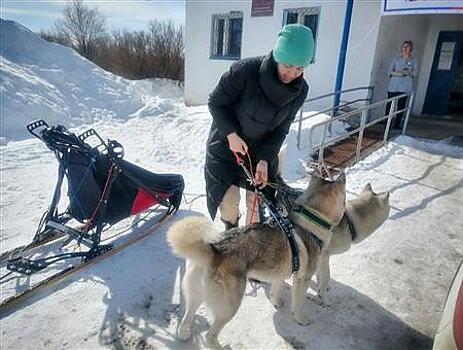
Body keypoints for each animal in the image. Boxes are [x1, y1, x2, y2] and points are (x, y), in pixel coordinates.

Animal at [169, 174, 346, 348]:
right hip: (229, 307)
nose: (342, 175)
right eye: (344, 199)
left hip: (196, 296)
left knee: (186, 320)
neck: (311, 222)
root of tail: (215, 250)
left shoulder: (279, 273)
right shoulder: (302, 279)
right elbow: (297, 305)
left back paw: (184, 335)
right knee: (210, 337)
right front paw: (300, 320)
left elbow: (276, 290)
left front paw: (277, 303)